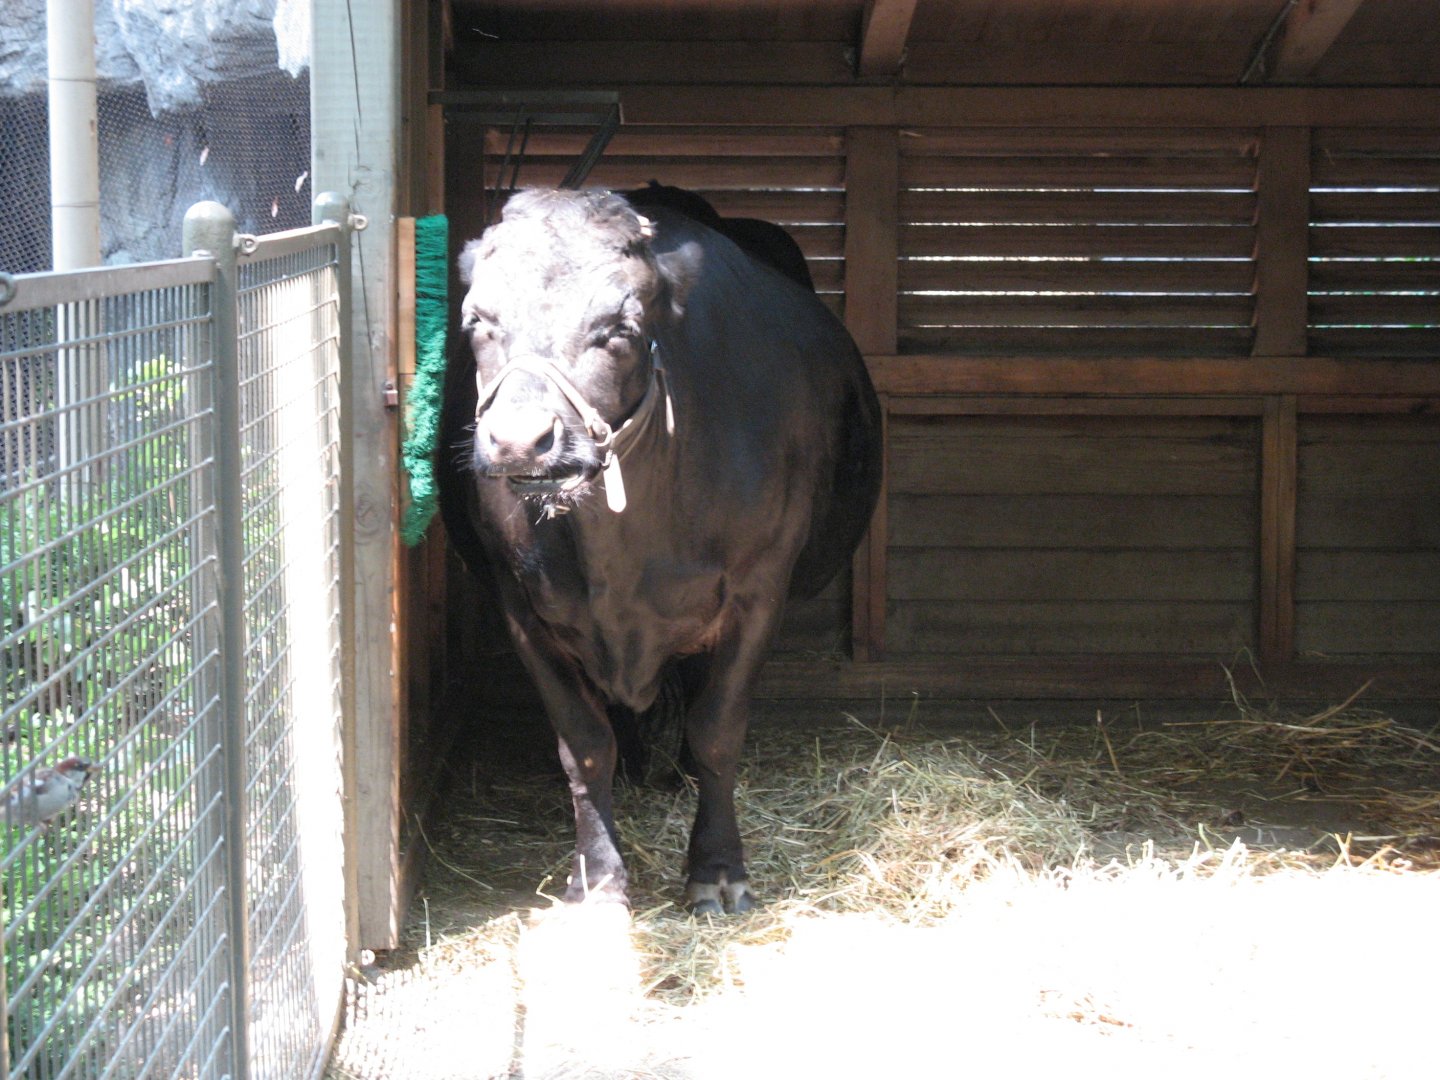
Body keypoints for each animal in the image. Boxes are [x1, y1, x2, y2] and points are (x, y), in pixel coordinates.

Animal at [439, 187, 881, 914]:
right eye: (479, 321)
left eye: (619, 328)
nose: (520, 441)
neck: (619, 557)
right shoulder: (520, 605)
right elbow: (585, 745)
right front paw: (598, 877)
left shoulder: (759, 592)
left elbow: (717, 729)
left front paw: (718, 869)